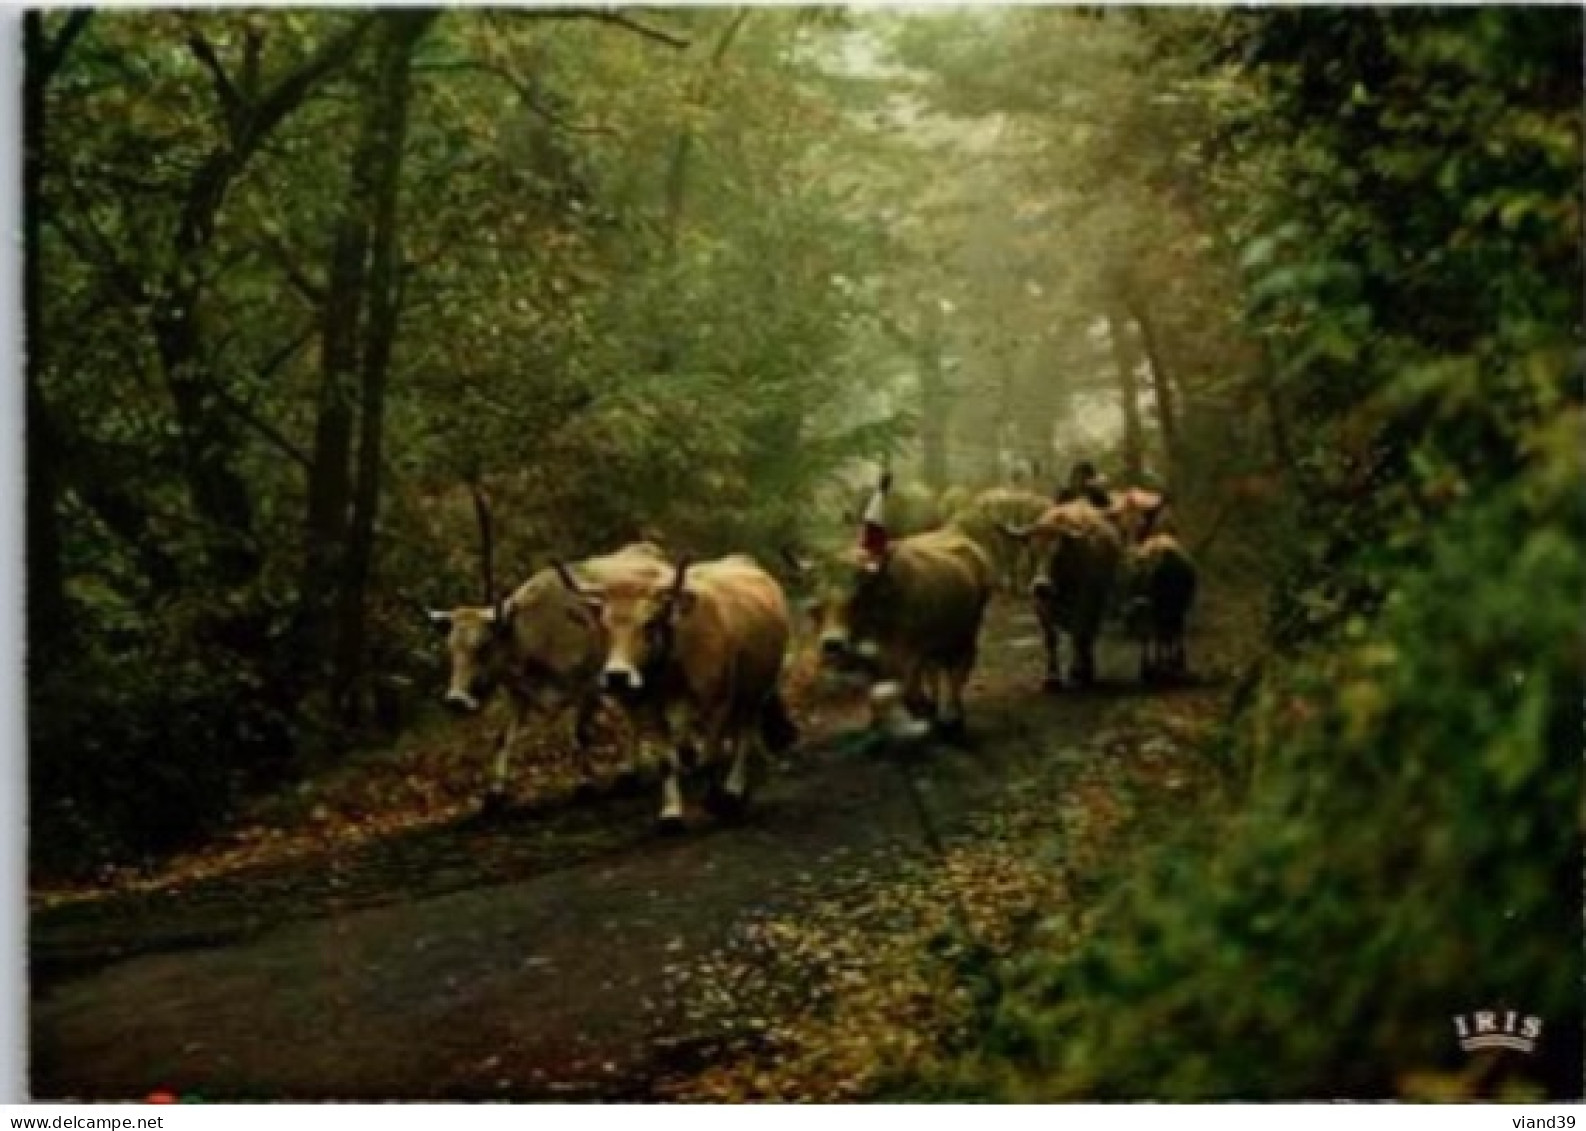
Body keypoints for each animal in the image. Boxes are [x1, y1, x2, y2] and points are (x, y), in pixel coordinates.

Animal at [555, 555, 793, 831]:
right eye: (603, 626)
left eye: (649, 624)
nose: (617, 676)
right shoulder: (653, 707)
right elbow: (667, 763)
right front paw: (671, 814)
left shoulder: (717, 702)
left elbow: (710, 757)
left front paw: (716, 802)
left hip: (754, 691)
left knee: (743, 736)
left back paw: (733, 791)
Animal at [805, 532, 989, 742]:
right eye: (815, 608)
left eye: (855, 600)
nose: (832, 644)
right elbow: (878, 694)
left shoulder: (908, 656)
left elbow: (903, 692)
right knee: (936, 669)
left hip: (968, 630)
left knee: (960, 668)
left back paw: (953, 717)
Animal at [1002, 501, 1129, 688]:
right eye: (1032, 552)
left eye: (1058, 555)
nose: (1041, 586)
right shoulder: (1039, 606)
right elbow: (1050, 639)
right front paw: (1052, 678)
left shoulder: (1084, 601)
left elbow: (1078, 634)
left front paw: (1075, 672)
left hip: (1098, 601)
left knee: (1088, 635)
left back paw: (1086, 671)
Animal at [1122, 532, 1192, 685]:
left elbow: (1150, 637)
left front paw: (1149, 668)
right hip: (1173, 606)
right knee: (1170, 632)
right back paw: (1172, 663)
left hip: (1161, 607)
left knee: (1161, 633)